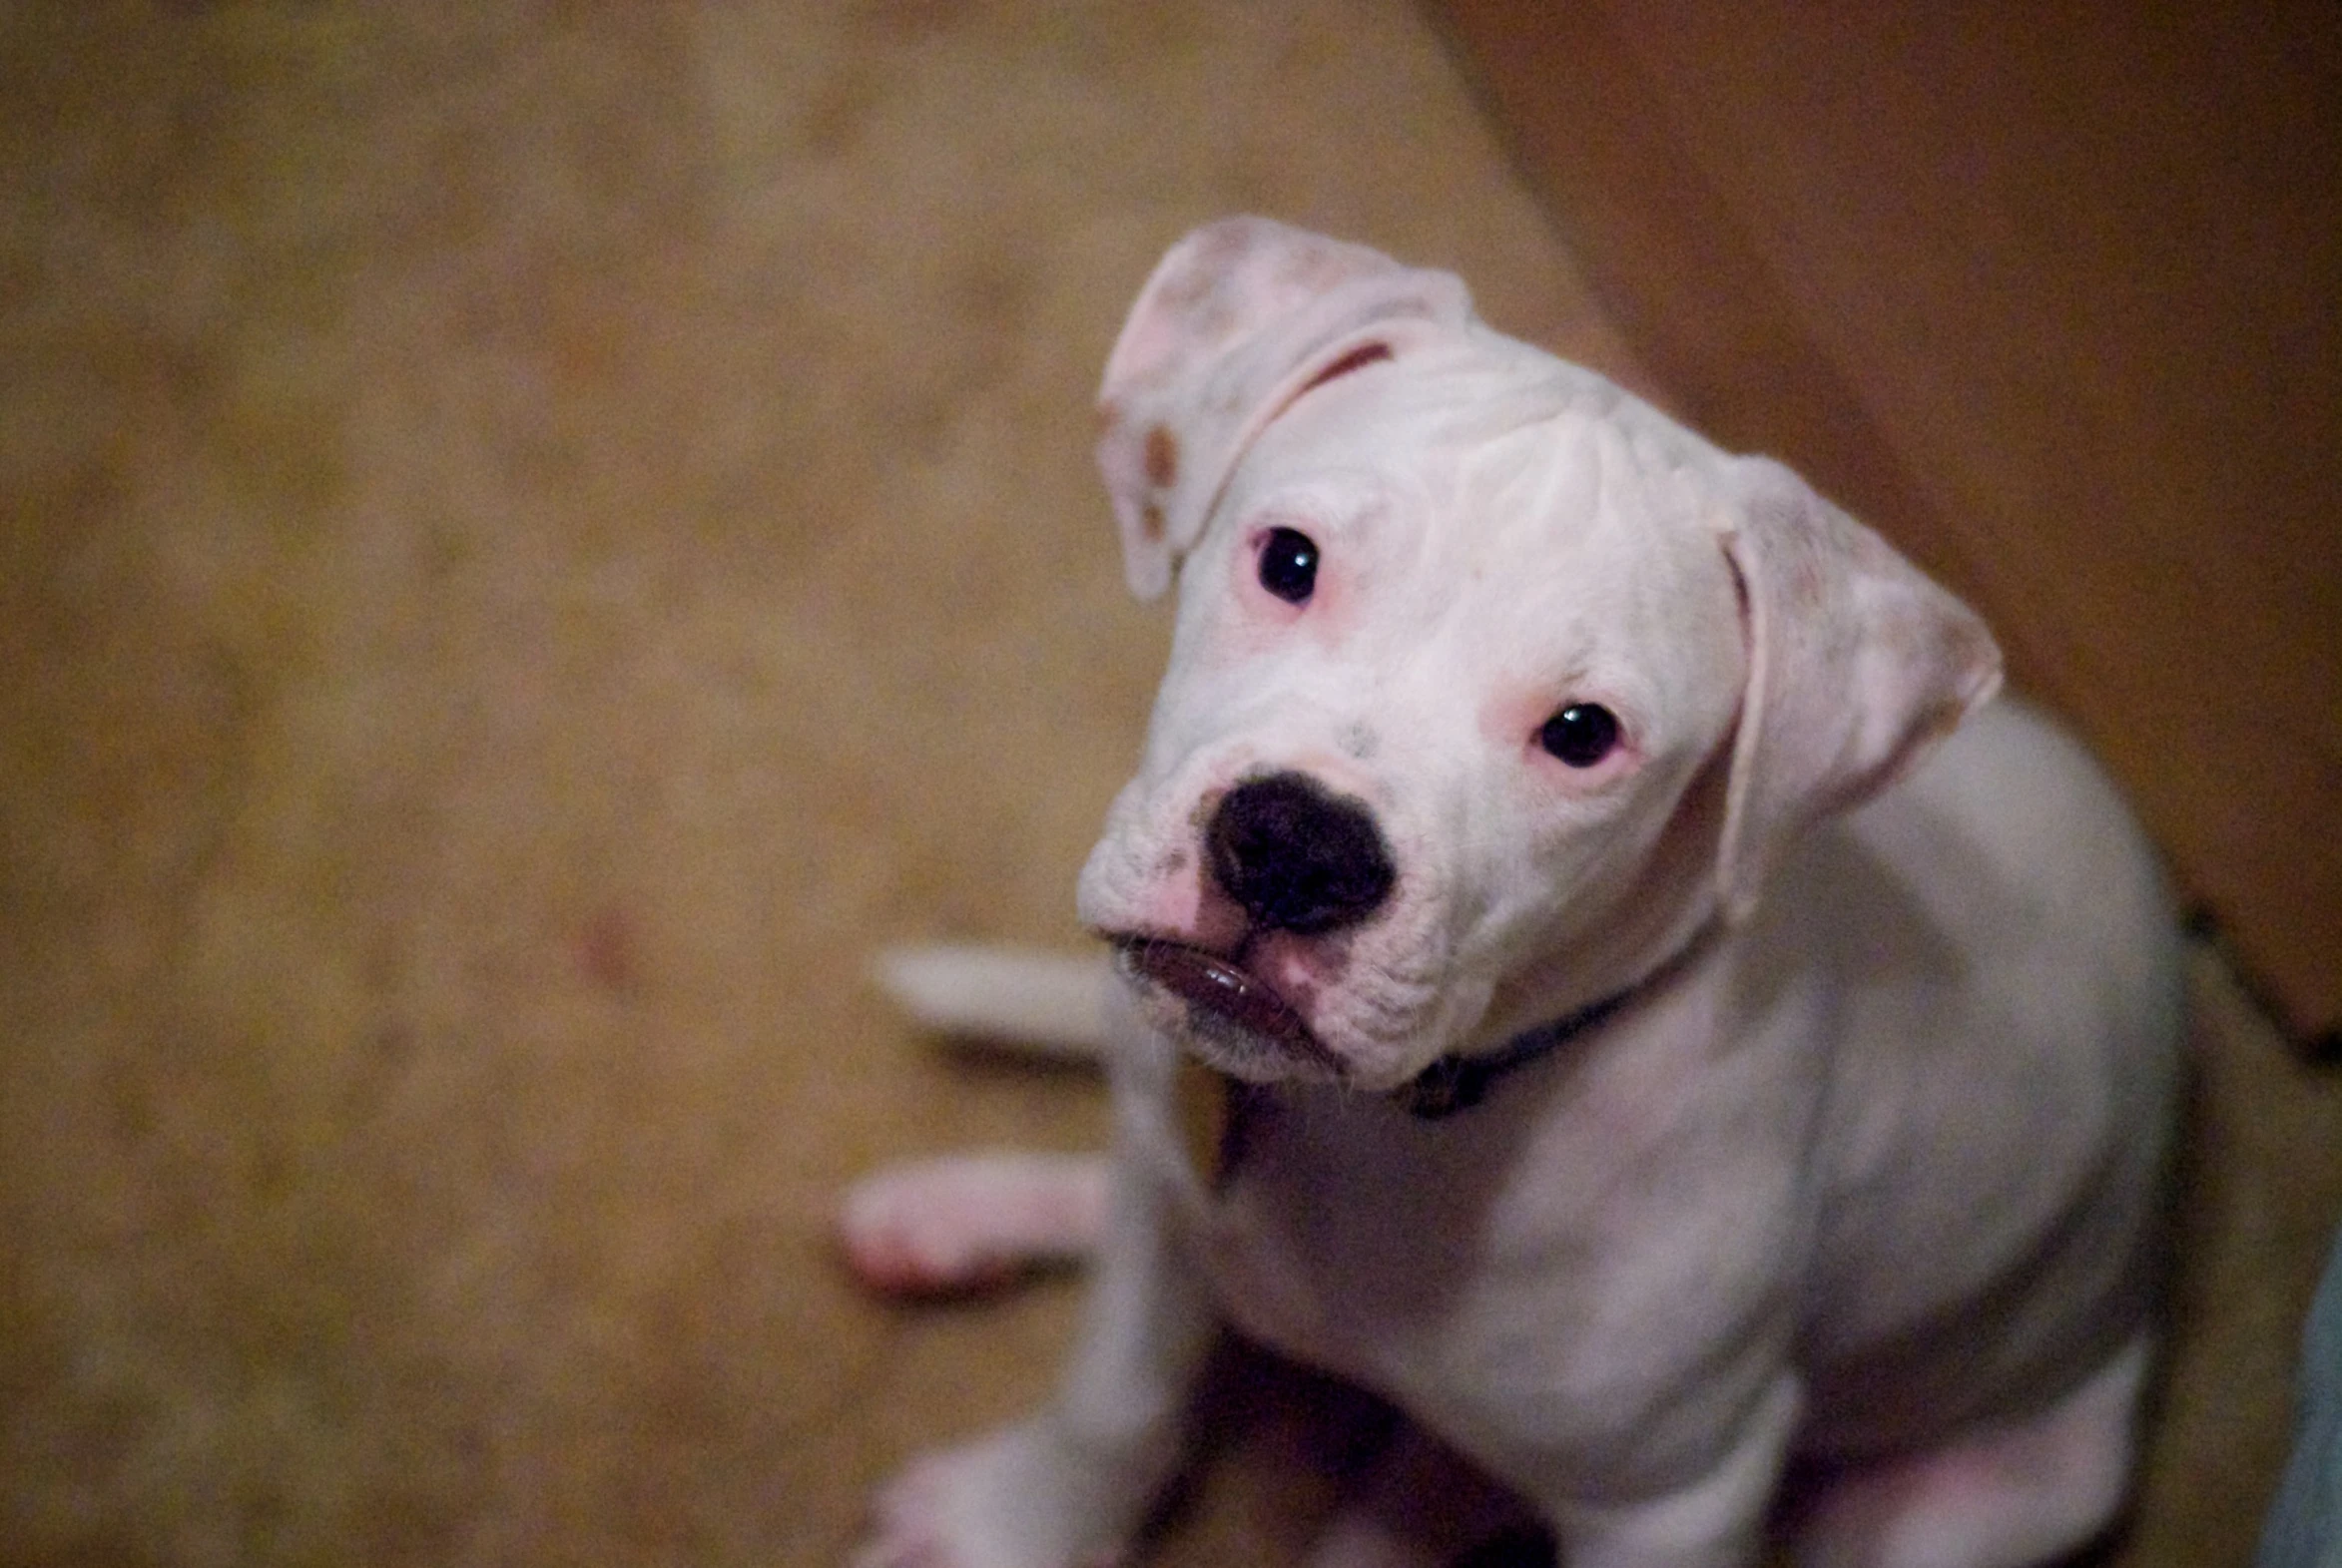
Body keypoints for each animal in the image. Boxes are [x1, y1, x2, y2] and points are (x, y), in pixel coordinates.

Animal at [838, 218, 2173, 1568]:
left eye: (1583, 734)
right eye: (1289, 560)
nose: (1297, 846)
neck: (1421, 1111)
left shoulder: (1675, 1502)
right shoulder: (1169, 1224)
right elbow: (1117, 1399)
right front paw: (1013, 1526)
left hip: (2000, 1491)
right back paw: (956, 1211)